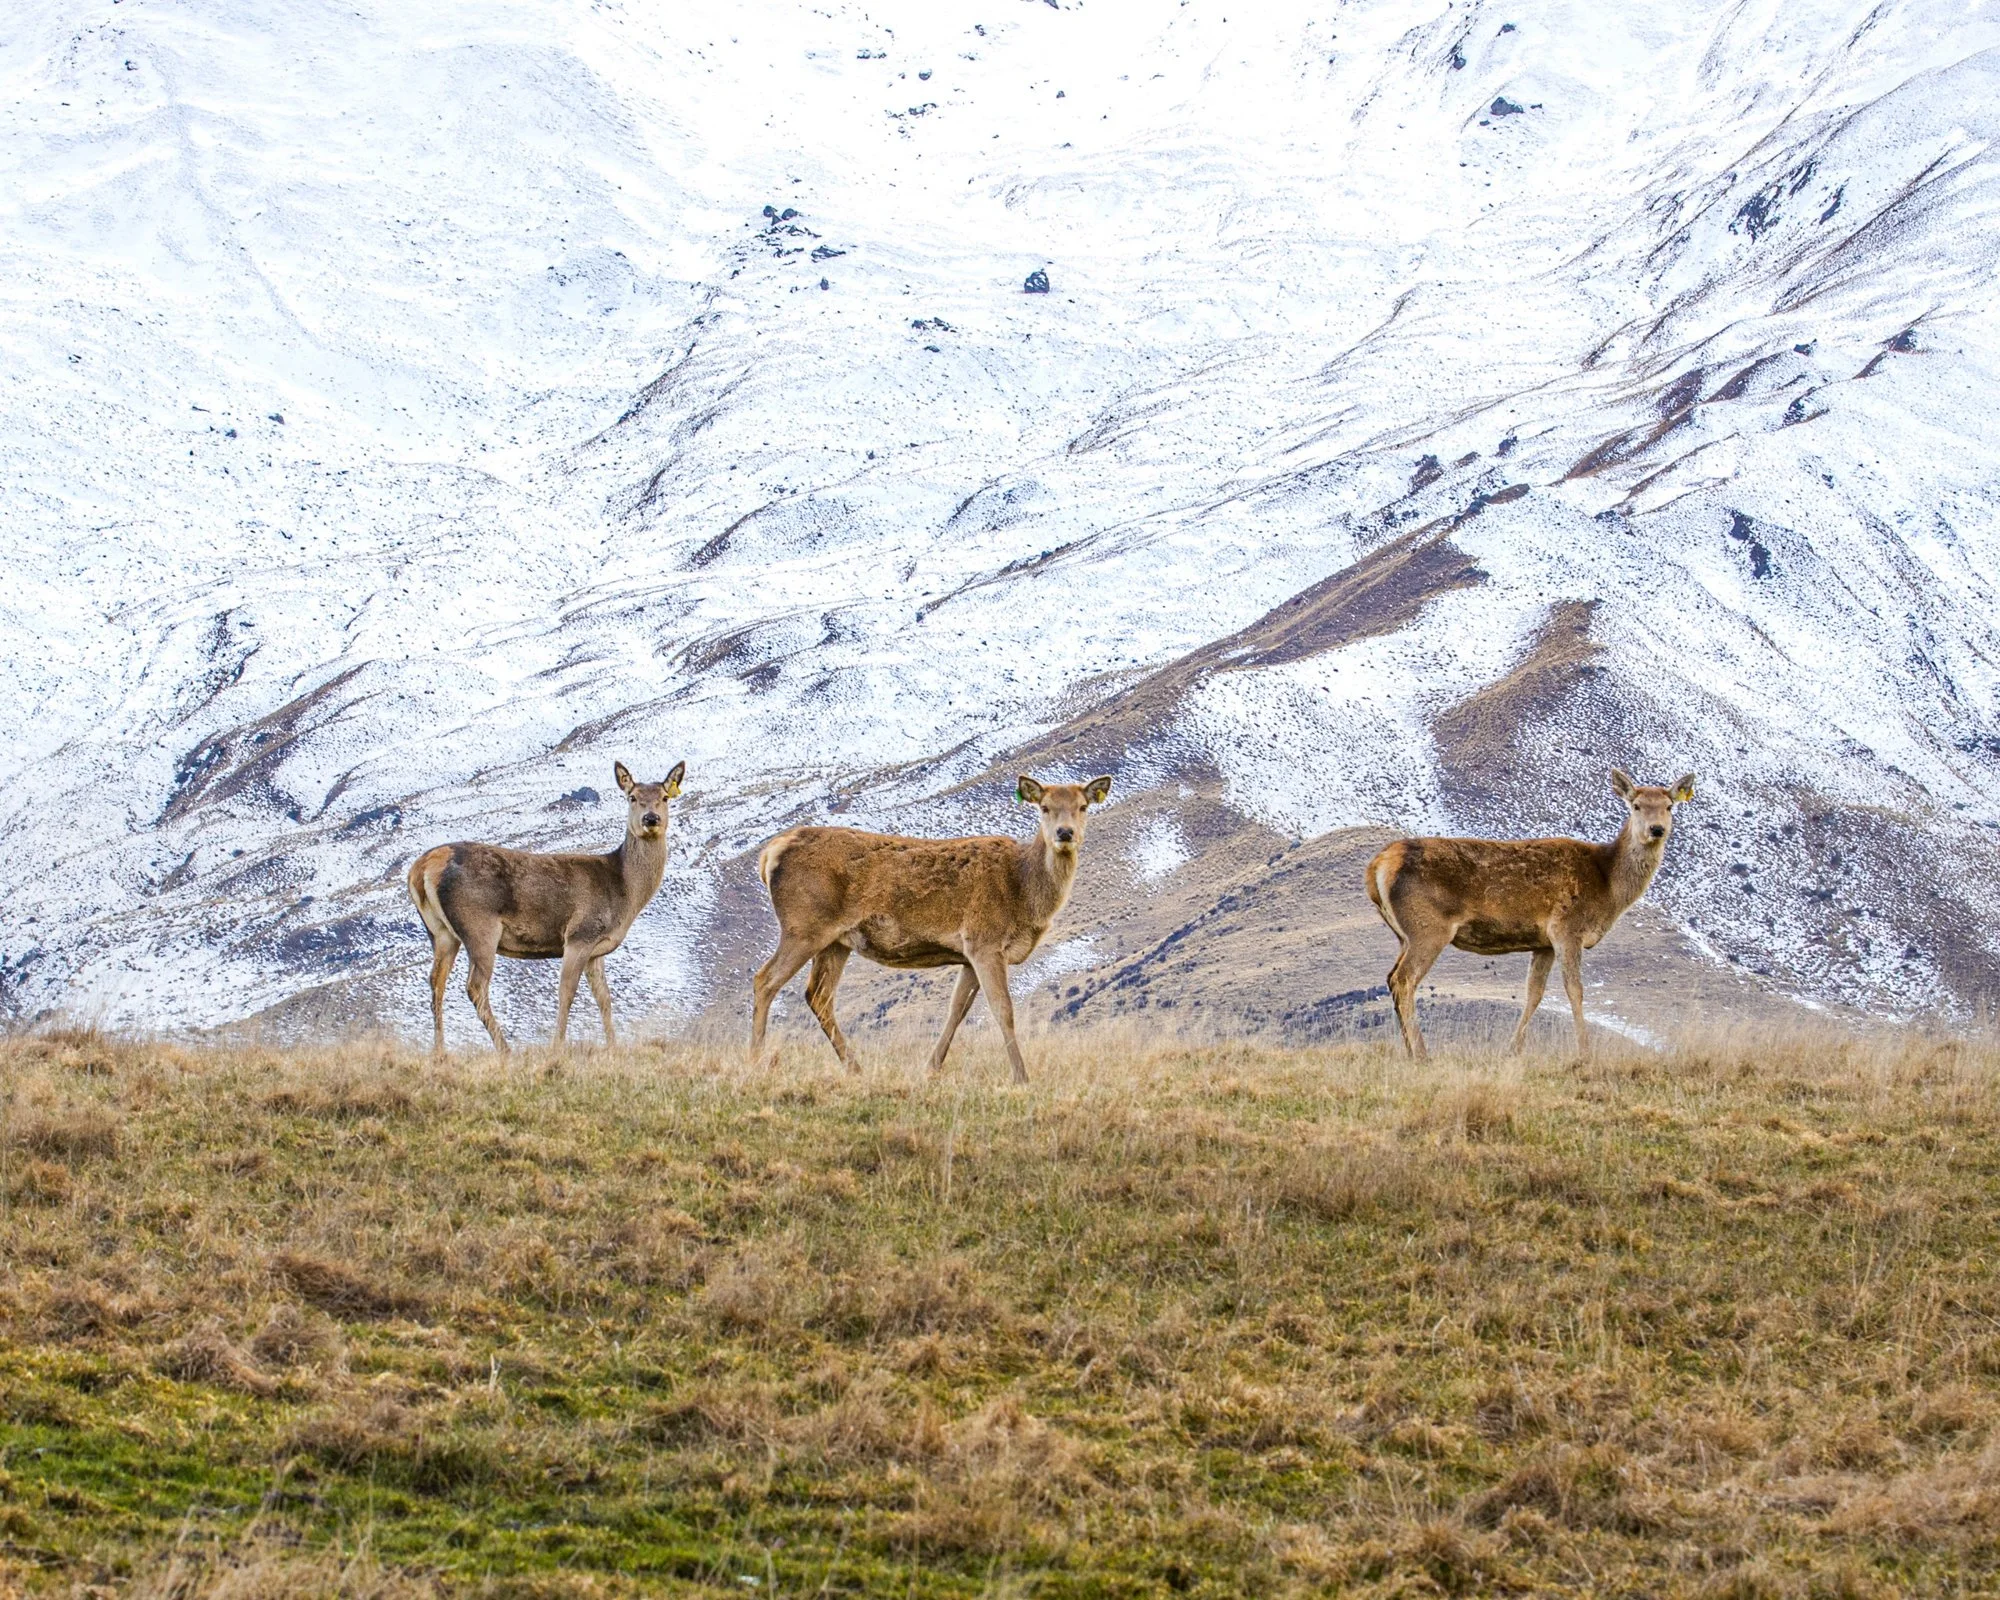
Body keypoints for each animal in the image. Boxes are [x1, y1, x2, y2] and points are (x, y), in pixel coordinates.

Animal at [406, 761, 685, 1057]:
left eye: (664, 798)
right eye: (632, 797)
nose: (651, 819)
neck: (625, 891)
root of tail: (422, 868)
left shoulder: (596, 948)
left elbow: (604, 998)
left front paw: (614, 1046)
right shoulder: (579, 934)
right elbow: (566, 992)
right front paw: (557, 1046)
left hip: (440, 931)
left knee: (436, 980)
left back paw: (439, 1050)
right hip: (479, 925)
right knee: (475, 986)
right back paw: (505, 1049)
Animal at [748, 774, 1113, 1082]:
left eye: (1083, 806)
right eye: (1044, 807)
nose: (1064, 833)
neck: (1024, 894)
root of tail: (769, 854)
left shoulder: (969, 954)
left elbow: (957, 1010)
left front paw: (930, 1068)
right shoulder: (984, 940)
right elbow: (1003, 1010)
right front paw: (1022, 1077)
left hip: (837, 940)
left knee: (819, 995)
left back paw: (855, 1068)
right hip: (803, 926)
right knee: (765, 980)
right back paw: (756, 1063)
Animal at [1366, 769, 1696, 1058]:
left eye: (1669, 806)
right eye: (1636, 805)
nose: (1656, 829)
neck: (1607, 887)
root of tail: (1377, 865)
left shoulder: (1543, 942)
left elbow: (1534, 993)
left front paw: (1512, 1050)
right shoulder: (1566, 927)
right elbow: (1575, 989)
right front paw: (1584, 1052)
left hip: (1405, 934)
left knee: (1391, 977)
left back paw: (1410, 1050)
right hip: (1428, 927)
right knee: (1404, 979)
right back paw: (1422, 1054)